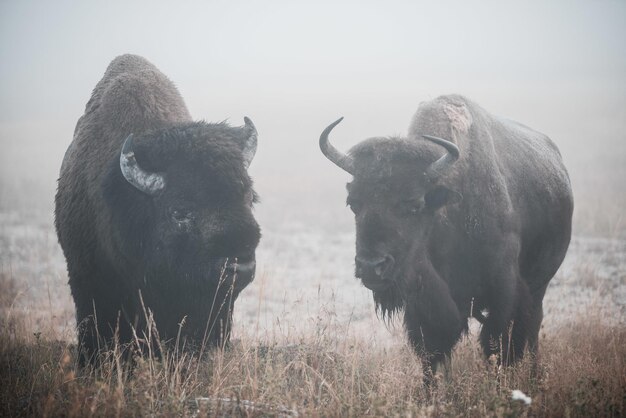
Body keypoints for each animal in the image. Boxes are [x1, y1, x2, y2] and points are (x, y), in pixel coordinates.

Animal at [320, 94, 572, 382]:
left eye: (414, 205)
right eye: (353, 203)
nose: (371, 267)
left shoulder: (504, 293)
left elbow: (498, 347)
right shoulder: (424, 308)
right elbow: (432, 355)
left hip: (539, 286)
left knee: (532, 328)